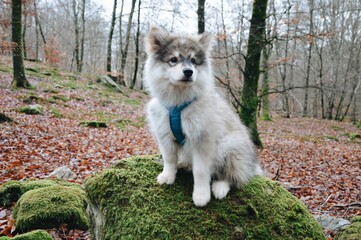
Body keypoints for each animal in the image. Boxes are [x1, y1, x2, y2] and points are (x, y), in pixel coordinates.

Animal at [143, 25, 262, 206]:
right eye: (173, 59)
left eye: (193, 61)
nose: (188, 72)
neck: (178, 104)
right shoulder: (165, 135)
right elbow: (169, 159)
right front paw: (168, 175)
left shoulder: (202, 140)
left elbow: (200, 171)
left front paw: (201, 195)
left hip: (230, 145)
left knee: (231, 177)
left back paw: (220, 187)